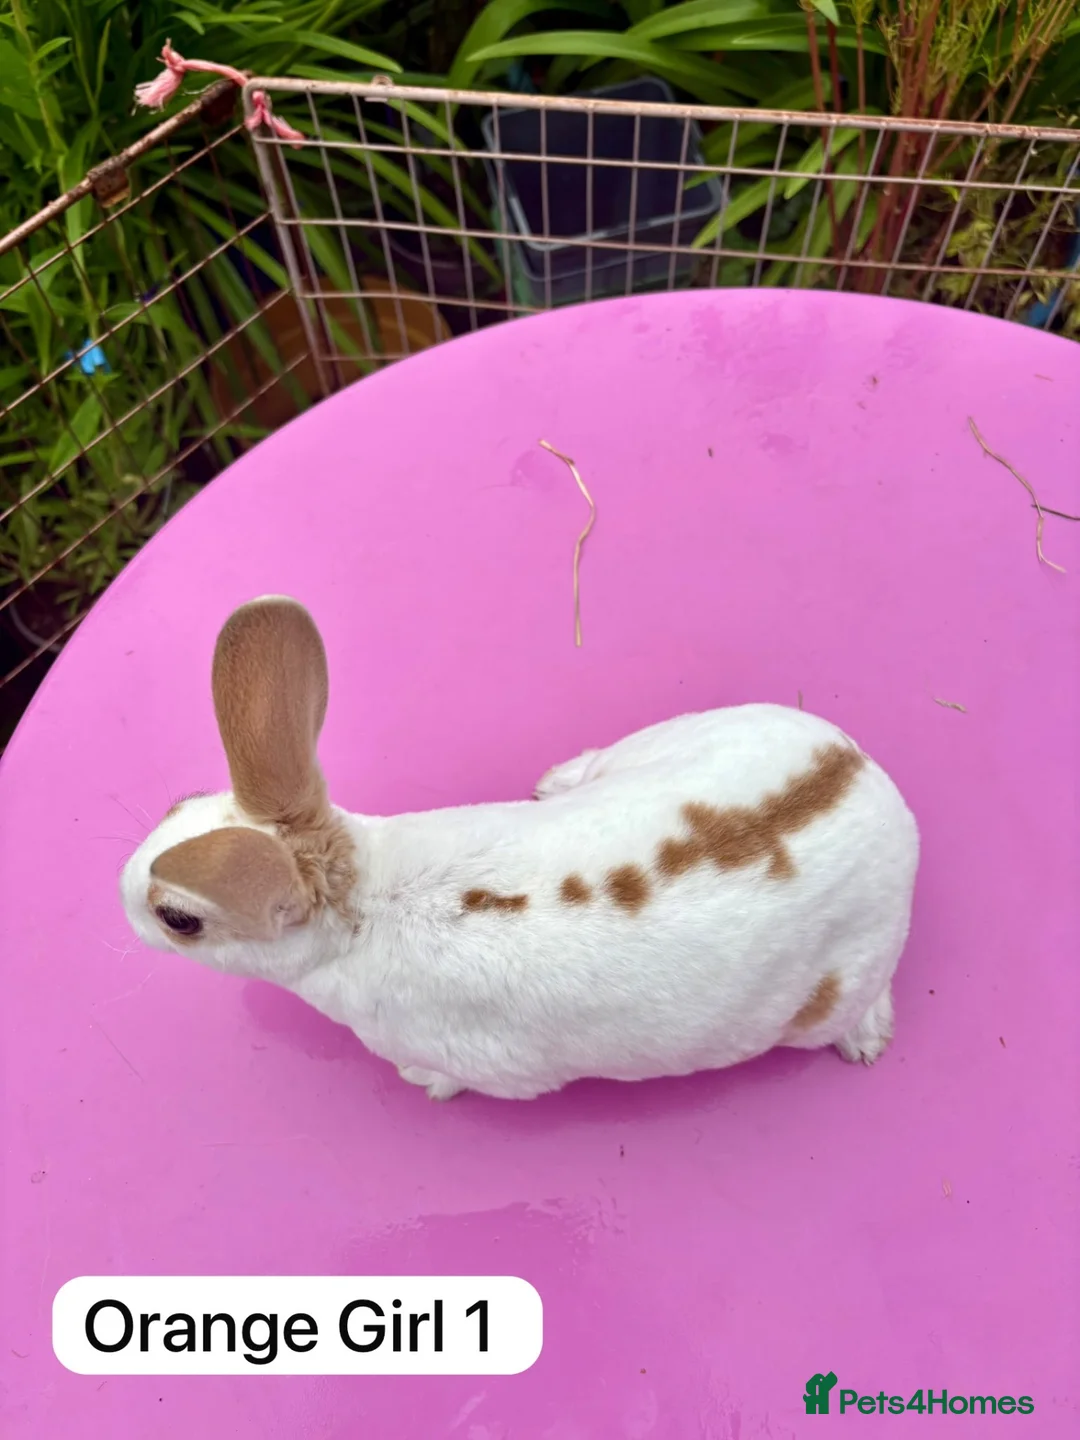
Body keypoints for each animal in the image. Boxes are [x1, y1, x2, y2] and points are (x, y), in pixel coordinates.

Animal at [120, 596, 920, 1102]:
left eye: (179, 919)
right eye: (181, 803)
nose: (120, 891)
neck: (364, 908)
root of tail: (865, 778)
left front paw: (423, 1085)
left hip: (842, 982)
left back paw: (867, 1042)